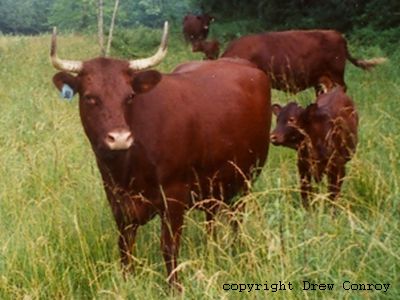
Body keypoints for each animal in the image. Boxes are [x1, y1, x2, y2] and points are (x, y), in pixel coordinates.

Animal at [48, 21, 270, 288]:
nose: (120, 138)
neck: (127, 167)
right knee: (212, 218)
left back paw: (236, 250)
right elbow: (125, 247)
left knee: (237, 218)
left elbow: (169, 248)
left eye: (129, 96)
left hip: (247, 177)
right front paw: (127, 281)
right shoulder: (117, 199)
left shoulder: (174, 196)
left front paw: (175, 287)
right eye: (90, 97)